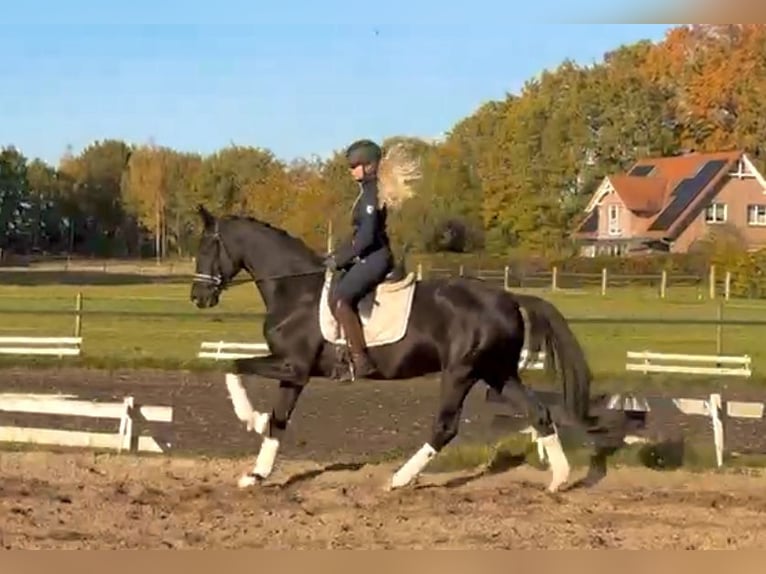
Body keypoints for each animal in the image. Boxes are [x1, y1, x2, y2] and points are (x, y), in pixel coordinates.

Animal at [190, 207, 600, 496]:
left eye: (208, 246)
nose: (198, 297)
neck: (296, 293)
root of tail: (510, 297)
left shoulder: (293, 366)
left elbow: (232, 365)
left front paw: (250, 418)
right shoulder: (295, 374)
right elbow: (277, 419)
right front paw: (256, 474)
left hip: (461, 372)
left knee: (445, 427)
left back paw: (398, 479)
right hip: (497, 373)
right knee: (539, 412)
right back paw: (559, 481)